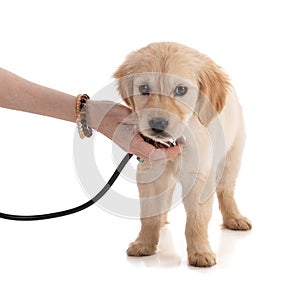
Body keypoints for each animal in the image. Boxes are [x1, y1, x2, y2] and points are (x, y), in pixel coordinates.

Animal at [113, 42, 252, 266]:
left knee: (226, 191)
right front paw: (144, 243)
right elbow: (148, 214)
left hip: (233, 154)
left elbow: (197, 220)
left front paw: (200, 252)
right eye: (144, 88)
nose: (157, 124)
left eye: (181, 90)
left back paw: (235, 218)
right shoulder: (150, 172)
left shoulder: (200, 175)